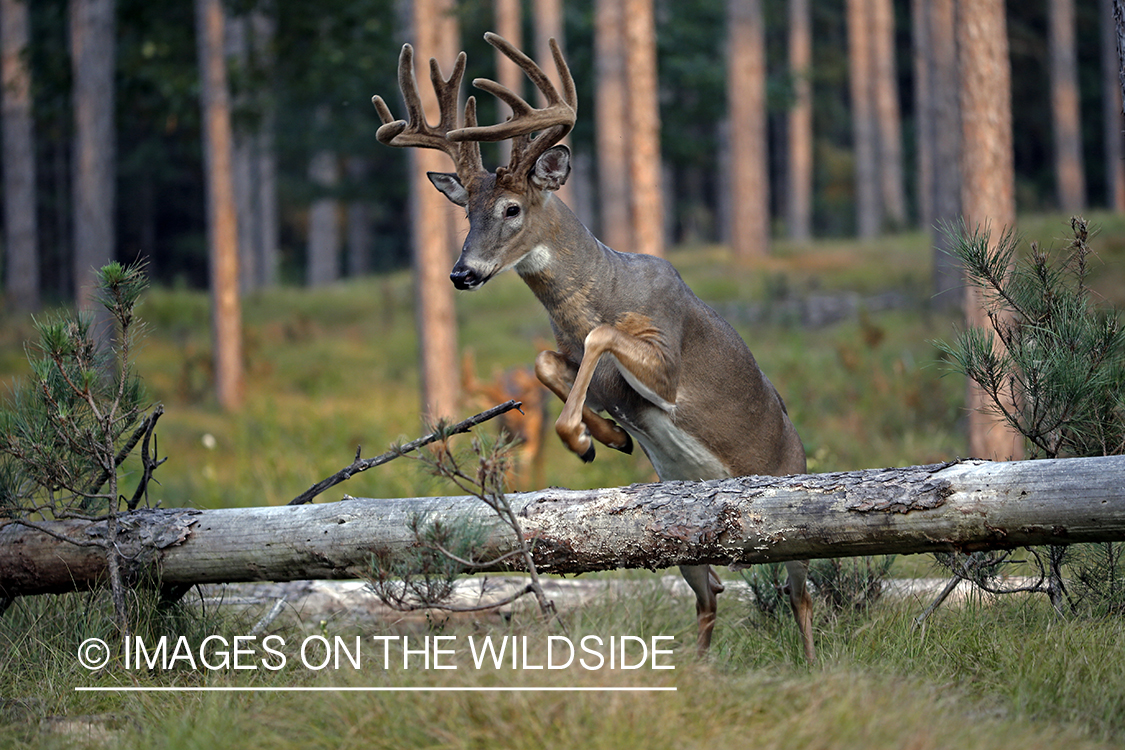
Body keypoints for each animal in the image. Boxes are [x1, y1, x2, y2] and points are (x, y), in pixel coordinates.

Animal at [373, 32, 814, 661]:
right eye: (465, 211)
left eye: (511, 208)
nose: (461, 273)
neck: (603, 286)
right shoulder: (573, 359)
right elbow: (545, 361)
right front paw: (603, 437)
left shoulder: (667, 353)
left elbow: (603, 336)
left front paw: (582, 436)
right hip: (685, 536)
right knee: (712, 593)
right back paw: (698, 670)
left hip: (792, 507)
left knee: (800, 593)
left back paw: (810, 664)